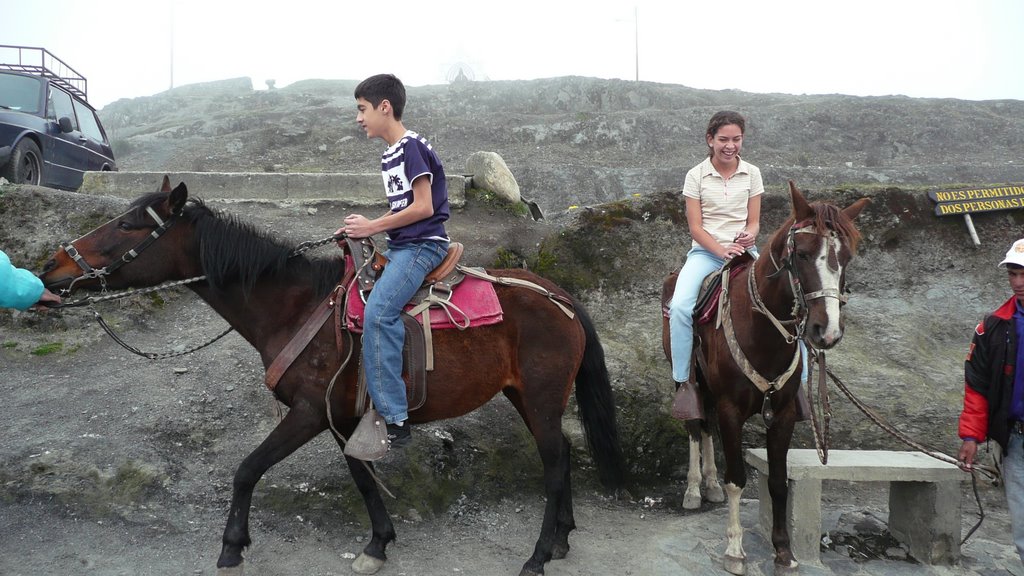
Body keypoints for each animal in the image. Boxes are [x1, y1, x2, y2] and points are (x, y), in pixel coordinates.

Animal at [39, 178, 626, 573]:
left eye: (127, 225)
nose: (51, 268)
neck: (297, 308)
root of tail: (562, 298)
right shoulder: (341, 417)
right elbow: (361, 477)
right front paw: (378, 543)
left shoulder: (305, 414)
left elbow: (247, 469)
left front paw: (232, 546)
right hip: (526, 397)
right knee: (561, 455)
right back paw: (561, 540)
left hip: (542, 398)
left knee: (554, 463)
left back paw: (538, 556)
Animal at [659, 181, 868, 569]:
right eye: (802, 254)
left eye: (846, 258)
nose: (827, 331)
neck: (762, 331)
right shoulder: (731, 410)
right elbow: (738, 479)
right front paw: (735, 551)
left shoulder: (783, 414)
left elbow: (777, 481)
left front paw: (784, 551)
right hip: (686, 378)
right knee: (695, 424)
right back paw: (694, 488)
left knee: (706, 425)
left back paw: (710, 485)